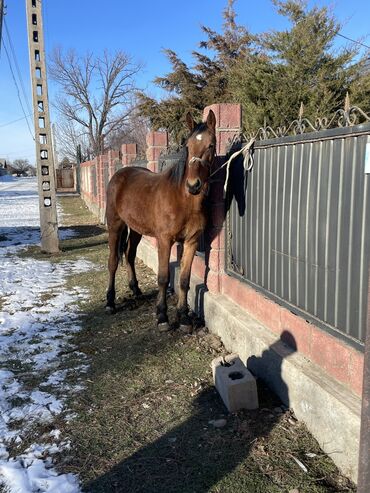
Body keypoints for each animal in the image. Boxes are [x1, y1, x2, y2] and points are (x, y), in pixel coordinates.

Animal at [105, 108, 217, 330]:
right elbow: (164, 277)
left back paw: (136, 291)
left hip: (136, 230)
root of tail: (119, 174)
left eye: (211, 145)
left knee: (129, 256)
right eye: (187, 146)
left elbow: (184, 279)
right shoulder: (165, 241)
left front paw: (183, 318)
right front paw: (162, 316)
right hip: (115, 226)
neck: (183, 199)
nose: (193, 185)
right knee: (113, 261)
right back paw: (110, 302)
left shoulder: (190, 242)